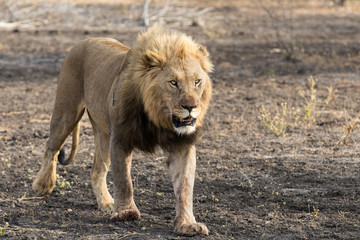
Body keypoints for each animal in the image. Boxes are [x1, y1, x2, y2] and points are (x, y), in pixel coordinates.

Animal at [32, 25, 212, 235]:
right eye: (173, 83)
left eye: (197, 81)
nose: (191, 106)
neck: (158, 118)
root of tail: (84, 41)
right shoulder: (120, 137)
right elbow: (124, 180)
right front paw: (126, 213)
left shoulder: (182, 145)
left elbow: (184, 186)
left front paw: (187, 224)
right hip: (66, 111)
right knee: (51, 147)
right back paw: (43, 185)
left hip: (102, 131)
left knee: (97, 169)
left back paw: (106, 202)